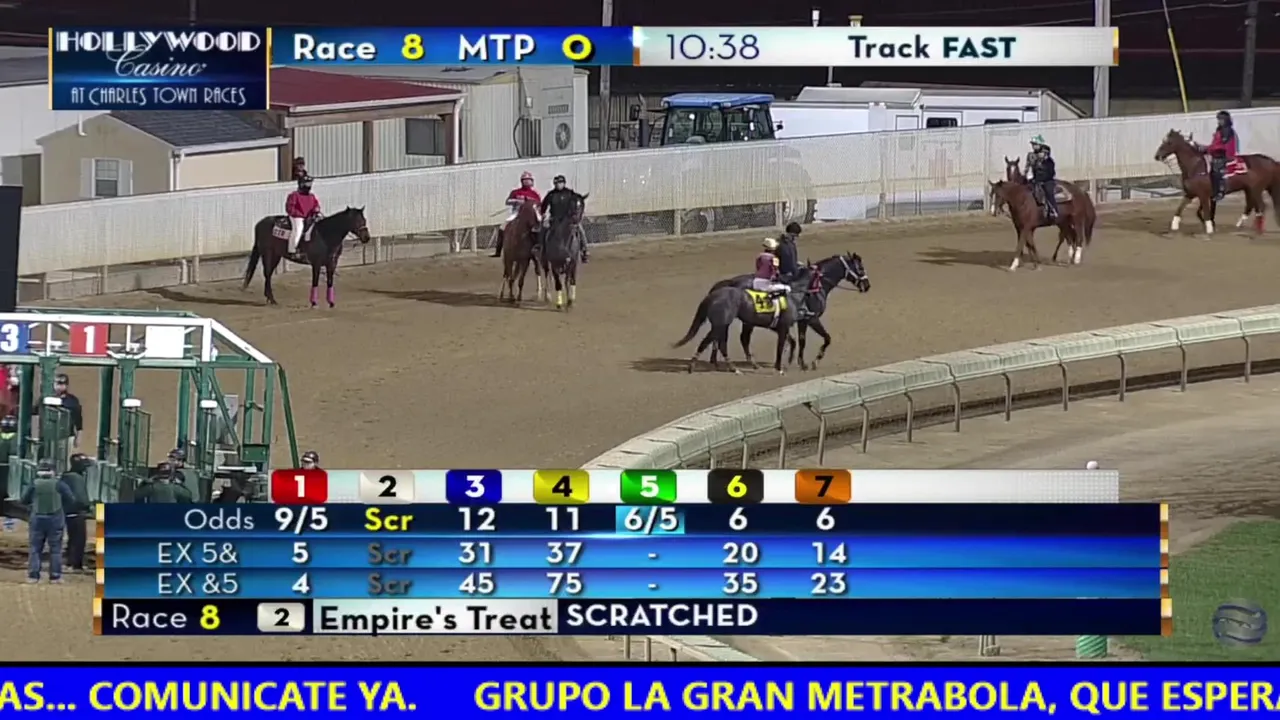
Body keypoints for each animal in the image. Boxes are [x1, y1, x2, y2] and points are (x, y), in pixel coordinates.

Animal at [672, 266, 818, 375]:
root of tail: (713, 295)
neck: (792, 296)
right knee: (710, 342)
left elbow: (792, 342)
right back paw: (694, 366)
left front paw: (789, 362)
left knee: (722, 343)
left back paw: (733, 367)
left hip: (723, 325)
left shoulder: (780, 327)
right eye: (819, 276)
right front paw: (779, 368)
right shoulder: (783, 327)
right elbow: (780, 347)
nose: (807, 311)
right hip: (721, 324)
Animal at [707, 253, 871, 370]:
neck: (815, 287)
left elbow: (802, 340)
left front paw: (800, 361)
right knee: (739, 338)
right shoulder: (812, 319)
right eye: (861, 268)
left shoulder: (802, 321)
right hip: (746, 321)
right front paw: (814, 361)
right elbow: (826, 338)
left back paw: (715, 361)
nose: (867, 285)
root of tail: (728, 283)